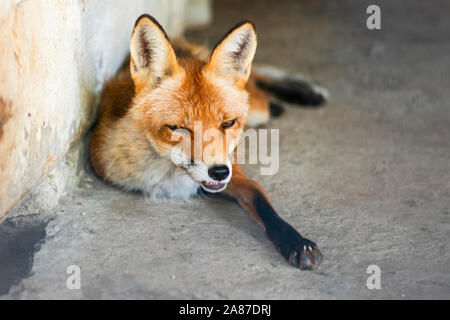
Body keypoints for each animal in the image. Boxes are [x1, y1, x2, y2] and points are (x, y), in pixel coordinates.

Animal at [89, 15, 326, 270]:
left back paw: (304, 94)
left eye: (228, 123)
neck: (169, 173)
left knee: (258, 80)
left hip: (257, 110)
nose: (219, 172)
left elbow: (260, 198)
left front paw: (296, 241)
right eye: (178, 128)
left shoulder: (235, 173)